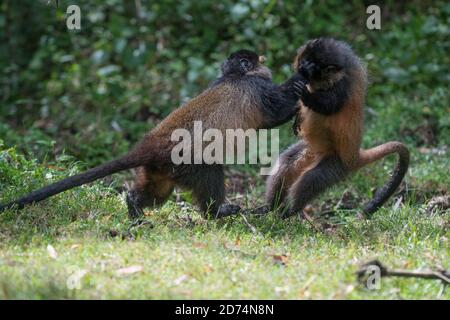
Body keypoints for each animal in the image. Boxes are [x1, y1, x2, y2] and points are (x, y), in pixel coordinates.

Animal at [0, 50, 306, 219]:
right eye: (250, 60)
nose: (261, 60)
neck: (234, 76)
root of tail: (153, 144)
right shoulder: (257, 89)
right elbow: (274, 116)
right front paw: (298, 85)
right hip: (186, 165)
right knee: (210, 171)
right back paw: (216, 213)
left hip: (160, 169)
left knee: (155, 194)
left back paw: (134, 207)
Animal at [266, 37, 410, 218]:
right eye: (305, 60)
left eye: (312, 65)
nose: (303, 67)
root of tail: (355, 156)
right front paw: (297, 115)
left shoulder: (344, 84)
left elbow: (329, 106)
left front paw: (305, 94)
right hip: (312, 151)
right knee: (287, 161)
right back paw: (268, 208)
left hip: (337, 164)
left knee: (310, 179)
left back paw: (287, 213)